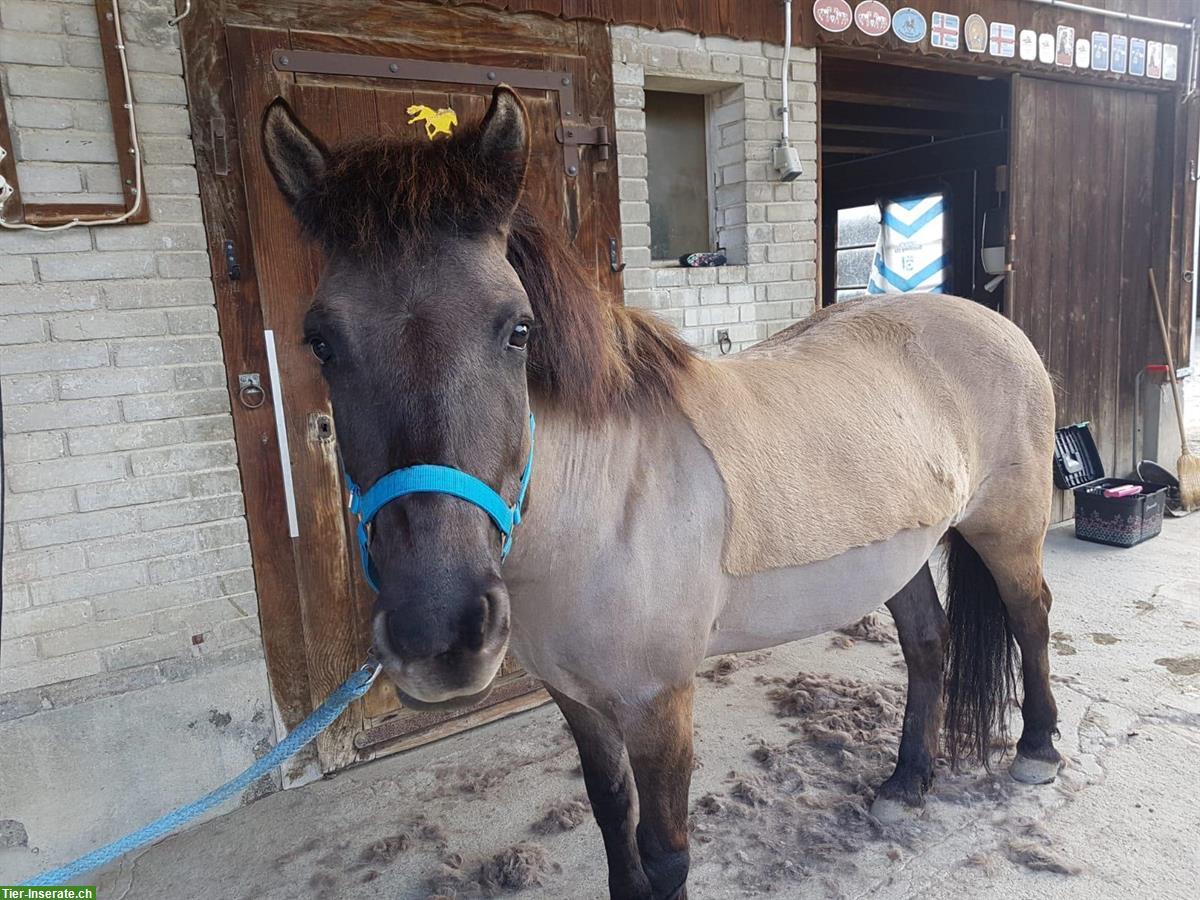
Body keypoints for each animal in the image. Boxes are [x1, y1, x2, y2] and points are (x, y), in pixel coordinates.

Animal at [260, 86, 1060, 900]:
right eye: (320, 341)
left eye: (518, 330)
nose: (439, 631)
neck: (600, 509)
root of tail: (988, 321)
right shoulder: (577, 700)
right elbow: (613, 814)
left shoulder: (658, 703)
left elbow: (665, 848)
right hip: (899, 556)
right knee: (928, 642)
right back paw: (906, 782)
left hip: (1007, 531)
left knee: (1031, 616)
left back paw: (1037, 751)